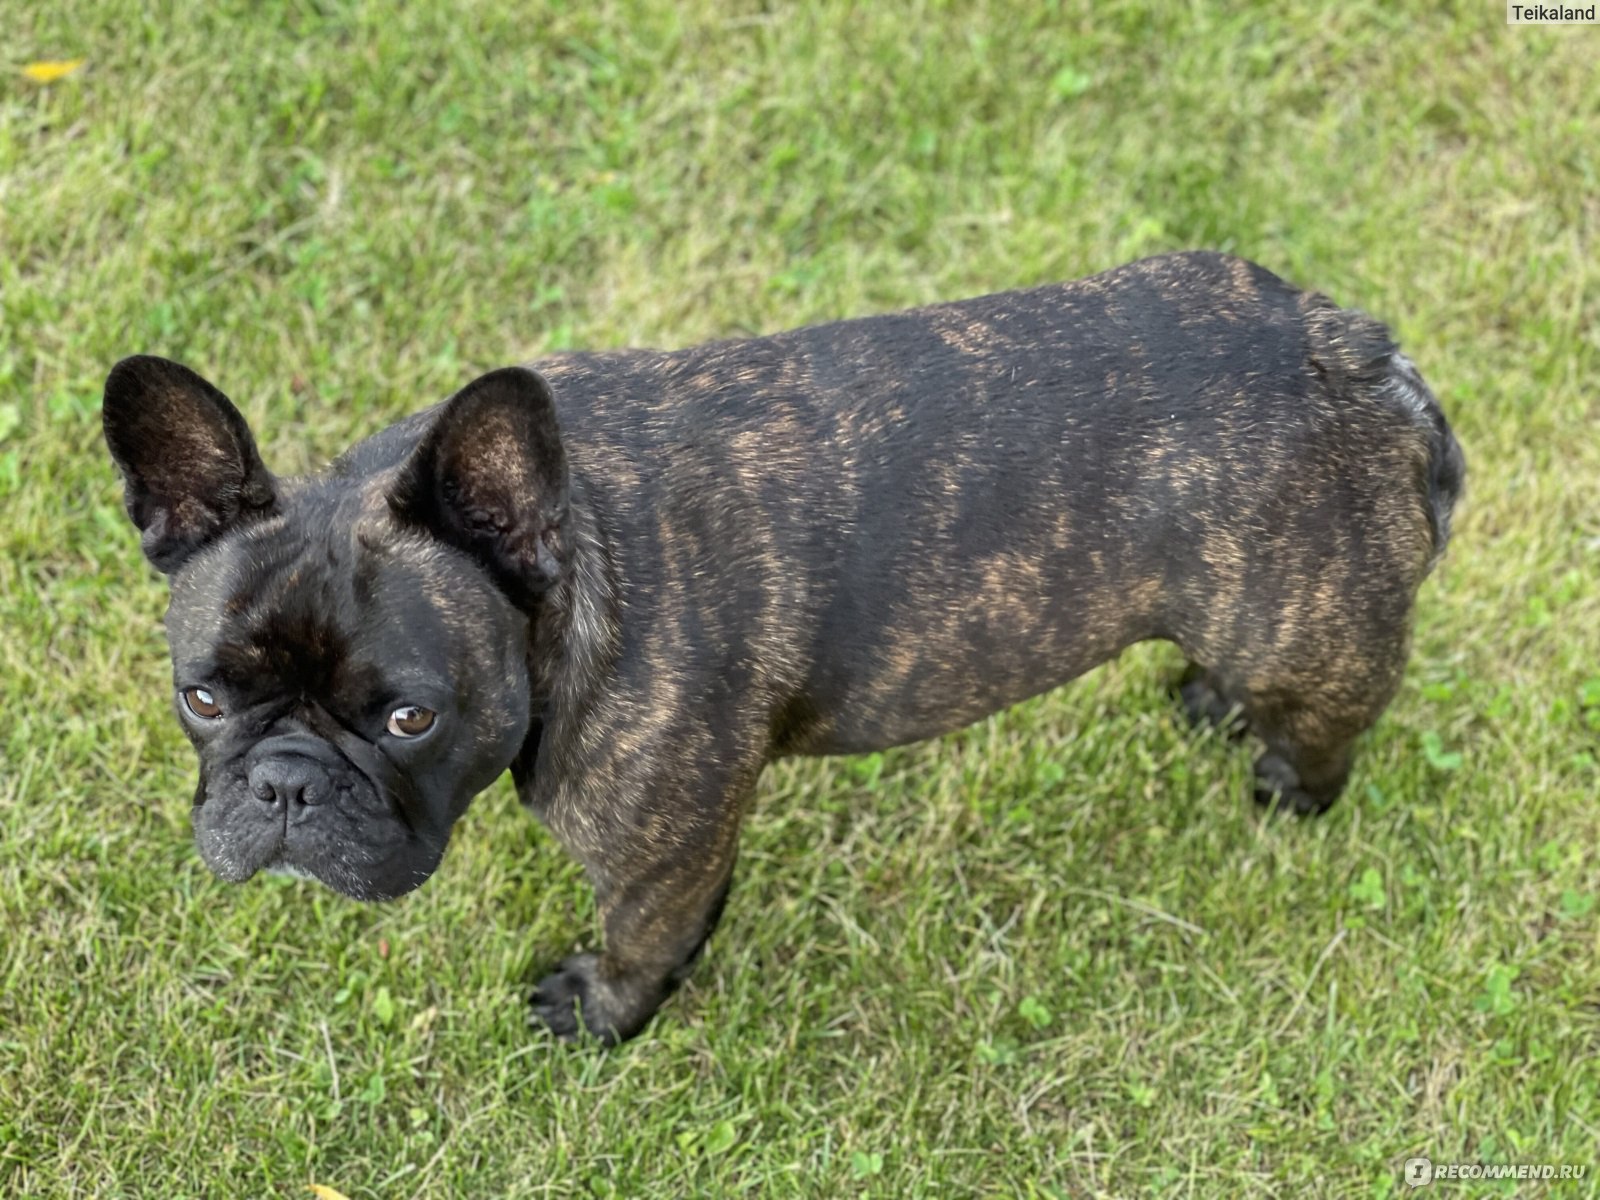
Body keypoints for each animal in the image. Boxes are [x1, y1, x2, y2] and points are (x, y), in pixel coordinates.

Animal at [100, 251, 1465, 1043]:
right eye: (203, 700)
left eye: (408, 718)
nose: (284, 787)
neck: (570, 563)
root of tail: (1361, 355)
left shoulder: (656, 848)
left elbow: (642, 938)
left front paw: (600, 1014)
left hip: (1308, 624)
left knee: (1330, 723)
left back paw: (1285, 784)